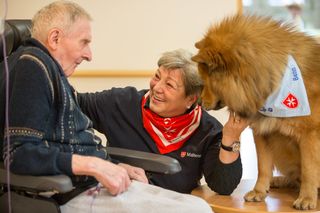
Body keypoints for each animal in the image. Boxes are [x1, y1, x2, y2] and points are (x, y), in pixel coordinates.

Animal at [192, 14, 320, 210]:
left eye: (206, 81)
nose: (198, 102)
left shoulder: (309, 136)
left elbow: (309, 170)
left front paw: (306, 198)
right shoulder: (262, 132)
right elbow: (263, 166)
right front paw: (259, 192)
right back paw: (279, 181)